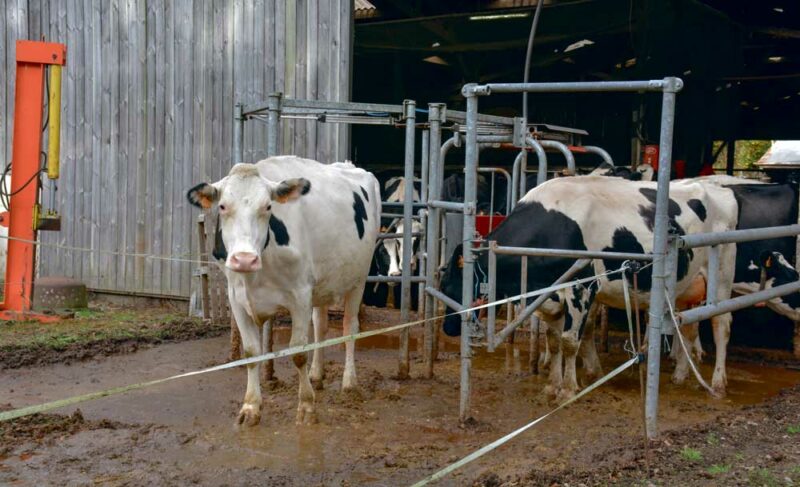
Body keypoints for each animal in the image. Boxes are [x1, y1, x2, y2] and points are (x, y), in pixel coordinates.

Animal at [188, 157, 382, 428]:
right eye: (223, 206)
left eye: (268, 206)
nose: (244, 259)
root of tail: (348, 164)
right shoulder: (236, 299)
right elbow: (251, 353)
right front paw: (250, 407)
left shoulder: (300, 296)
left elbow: (298, 352)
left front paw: (307, 407)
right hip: (322, 285)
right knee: (320, 327)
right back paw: (317, 375)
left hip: (358, 279)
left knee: (349, 328)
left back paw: (349, 383)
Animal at [438, 175, 736, 400]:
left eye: (454, 286)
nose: (448, 328)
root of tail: (720, 190)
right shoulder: (549, 296)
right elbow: (553, 340)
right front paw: (552, 385)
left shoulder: (581, 288)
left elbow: (570, 341)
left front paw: (568, 389)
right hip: (687, 288)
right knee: (688, 327)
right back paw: (681, 375)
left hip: (721, 276)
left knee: (720, 324)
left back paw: (718, 382)